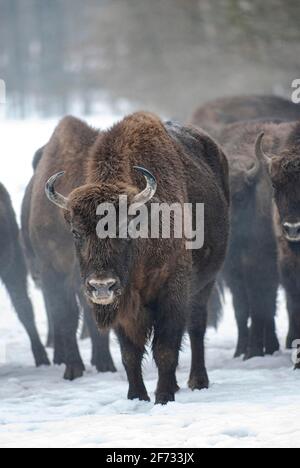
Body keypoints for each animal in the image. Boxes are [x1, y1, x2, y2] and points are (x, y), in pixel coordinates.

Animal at [36, 111, 230, 404]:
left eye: (126, 229)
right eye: (75, 232)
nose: (101, 286)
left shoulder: (173, 290)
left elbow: (165, 349)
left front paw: (163, 397)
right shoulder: (123, 305)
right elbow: (130, 353)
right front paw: (137, 396)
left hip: (206, 283)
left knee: (196, 327)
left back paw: (197, 381)